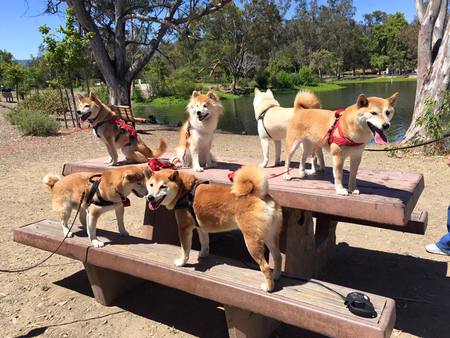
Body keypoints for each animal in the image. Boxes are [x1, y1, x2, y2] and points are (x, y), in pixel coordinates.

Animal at [146, 165, 284, 292]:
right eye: (151, 185)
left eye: (163, 186)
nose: (150, 197)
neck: (184, 191)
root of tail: (259, 194)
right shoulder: (201, 228)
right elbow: (204, 243)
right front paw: (203, 254)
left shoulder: (184, 228)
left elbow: (185, 250)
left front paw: (182, 262)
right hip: (270, 237)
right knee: (278, 257)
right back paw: (276, 276)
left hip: (252, 241)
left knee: (265, 266)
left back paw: (268, 287)